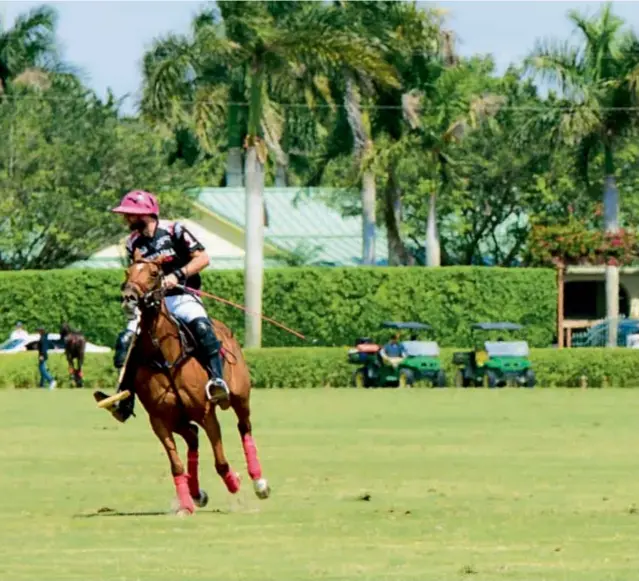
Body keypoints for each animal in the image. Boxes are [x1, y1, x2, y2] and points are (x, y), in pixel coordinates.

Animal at [99, 260, 270, 516]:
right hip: (179, 418)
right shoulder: (159, 420)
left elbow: (221, 462)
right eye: (128, 272)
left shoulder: (206, 414)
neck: (165, 357)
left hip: (240, 397)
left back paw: (259, 482)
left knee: (244, 427)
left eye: (154, 273)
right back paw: (196, 493)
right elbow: (176, 465)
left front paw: (234, 482)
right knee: (192, 437)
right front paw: (186, 504)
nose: (129, 298)